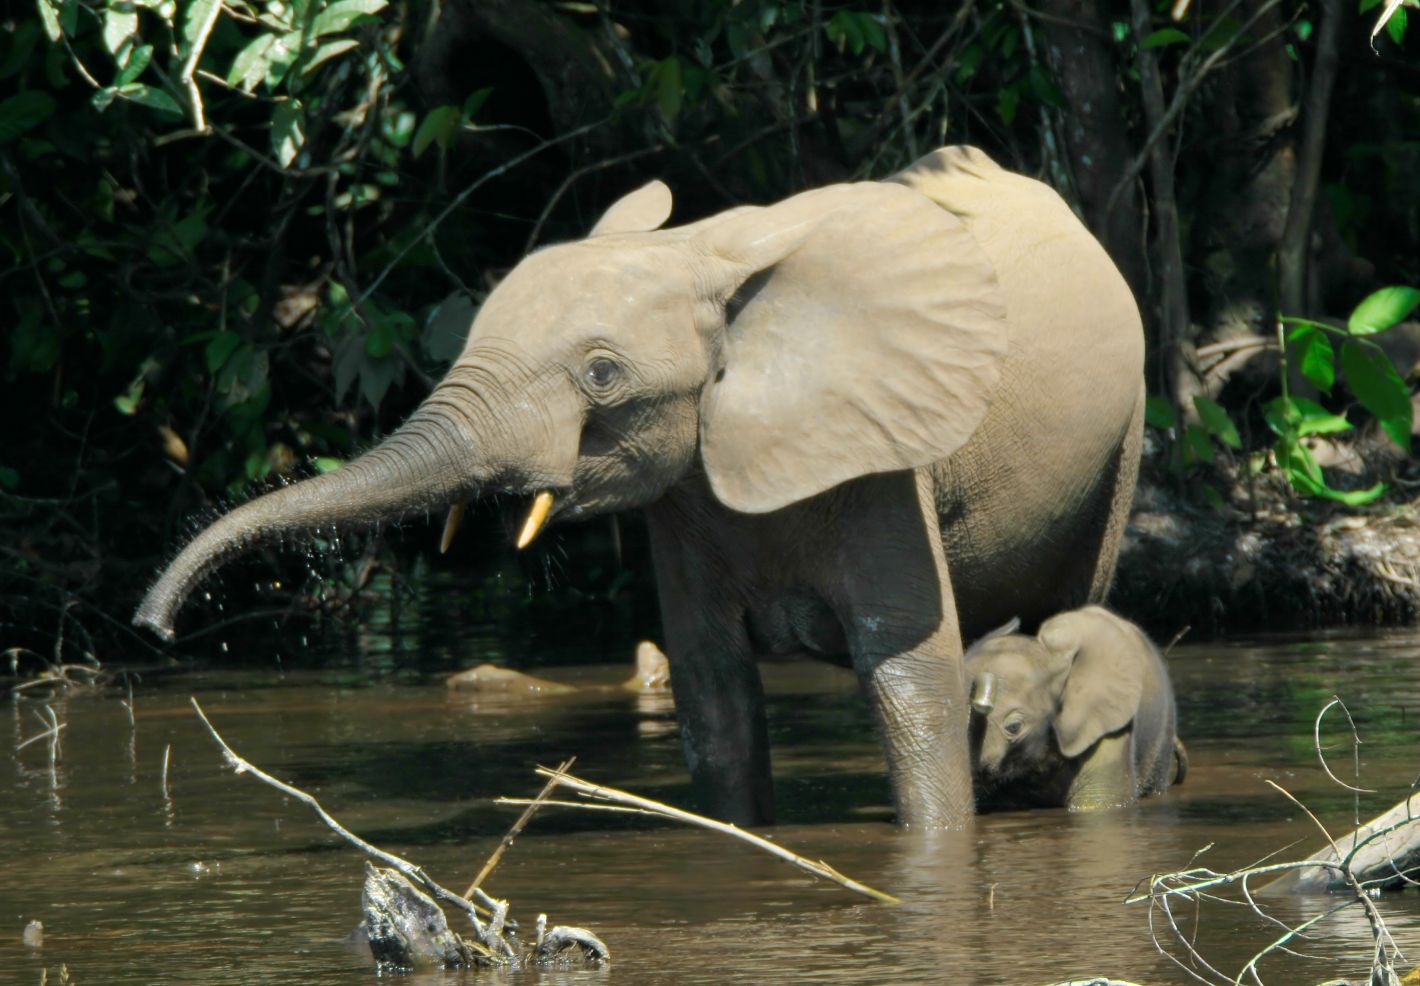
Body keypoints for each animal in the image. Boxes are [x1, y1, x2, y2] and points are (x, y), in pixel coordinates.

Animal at [138, 148, 1147, 835]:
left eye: (601, 374)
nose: (153, 627)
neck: (703, 256)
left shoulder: (883, 461)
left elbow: (910, 680)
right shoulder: (688, 496)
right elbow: (714, 697)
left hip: (1124, 438)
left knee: (1067, 609)